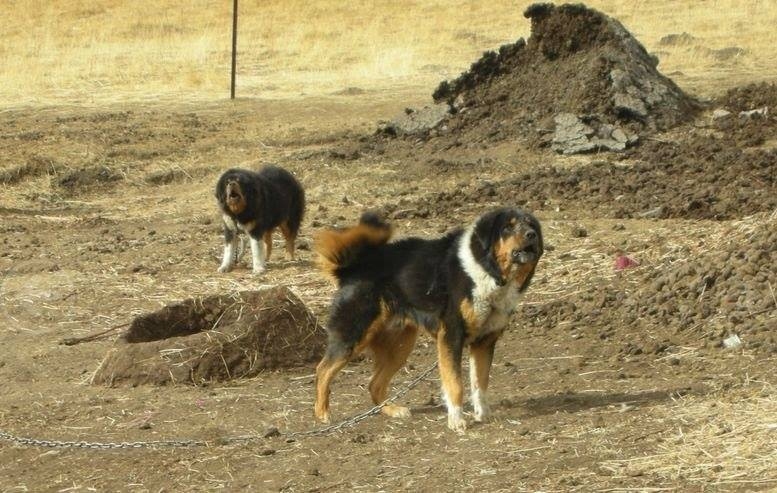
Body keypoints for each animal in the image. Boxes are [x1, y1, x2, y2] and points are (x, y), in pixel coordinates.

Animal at [312, 207, 544, 430]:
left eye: (531, 225)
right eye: (508, 227)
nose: (531, 235)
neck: (486, 271)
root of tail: (351, 269)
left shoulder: (484, 342)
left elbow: (480, 383)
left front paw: (483, 415)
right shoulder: (451, 336)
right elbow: (456, 384)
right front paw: (456, 421)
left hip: (400, 346)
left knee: (374, 384)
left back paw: (392, 410)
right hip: (354, 335)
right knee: (323, 370)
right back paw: (323, 414)